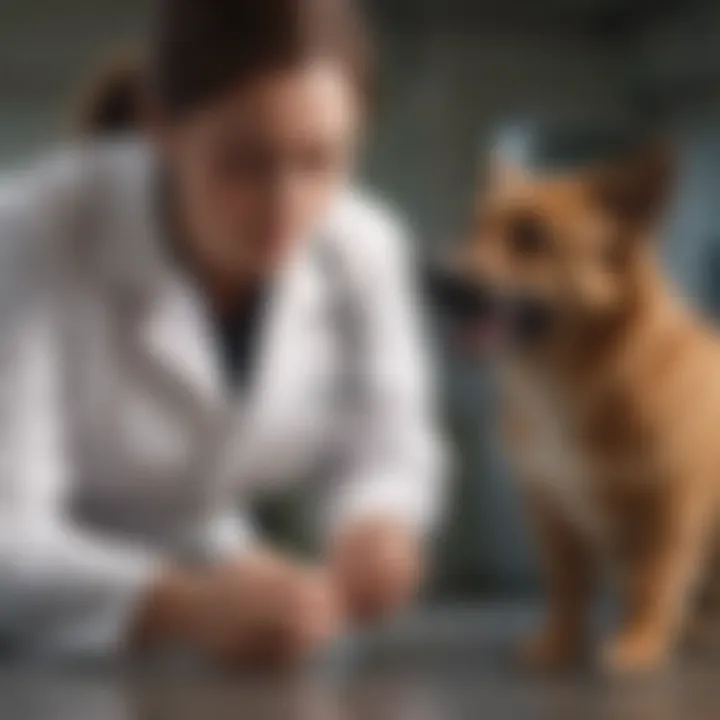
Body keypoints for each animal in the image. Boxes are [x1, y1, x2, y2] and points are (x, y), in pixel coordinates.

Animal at [430, 142, 720, 676]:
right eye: (471, 227)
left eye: (532, 238)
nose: (435, 280)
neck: (567, 379)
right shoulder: (550, 511)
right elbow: (566, 588)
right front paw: (558, 645)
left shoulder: (672, 504)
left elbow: (654, 581)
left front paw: (639, 642)